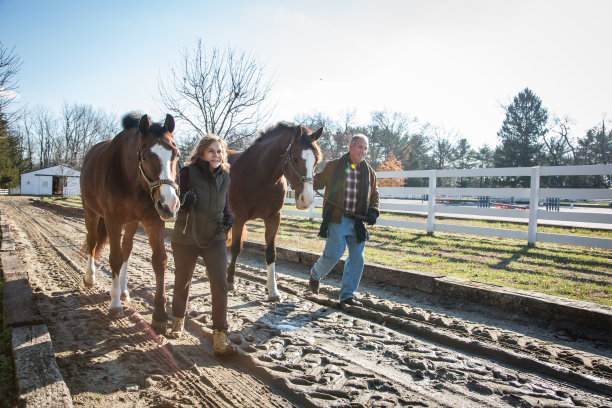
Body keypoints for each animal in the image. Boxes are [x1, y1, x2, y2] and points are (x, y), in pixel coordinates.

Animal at [80, 112, 179, 332]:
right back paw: (90, 277)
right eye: (144, 156)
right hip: (91, 212)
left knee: (127, 248)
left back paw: (124, 290)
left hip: (133, 222)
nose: (170, 204)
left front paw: (160, 314)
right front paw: (115, 305)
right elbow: (114, 258)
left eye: (176, 154)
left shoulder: (154, 220)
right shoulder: (112, 220)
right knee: (92, 241)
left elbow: (159, 260)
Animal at [225, 122, 320, 302]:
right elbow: (236, 248)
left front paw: (273, 290)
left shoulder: (273, 218)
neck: (259, 176)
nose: (306, 199)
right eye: (295, 158)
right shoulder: (239, 217)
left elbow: (271, 253)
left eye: (317, 160)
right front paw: (230, 282)